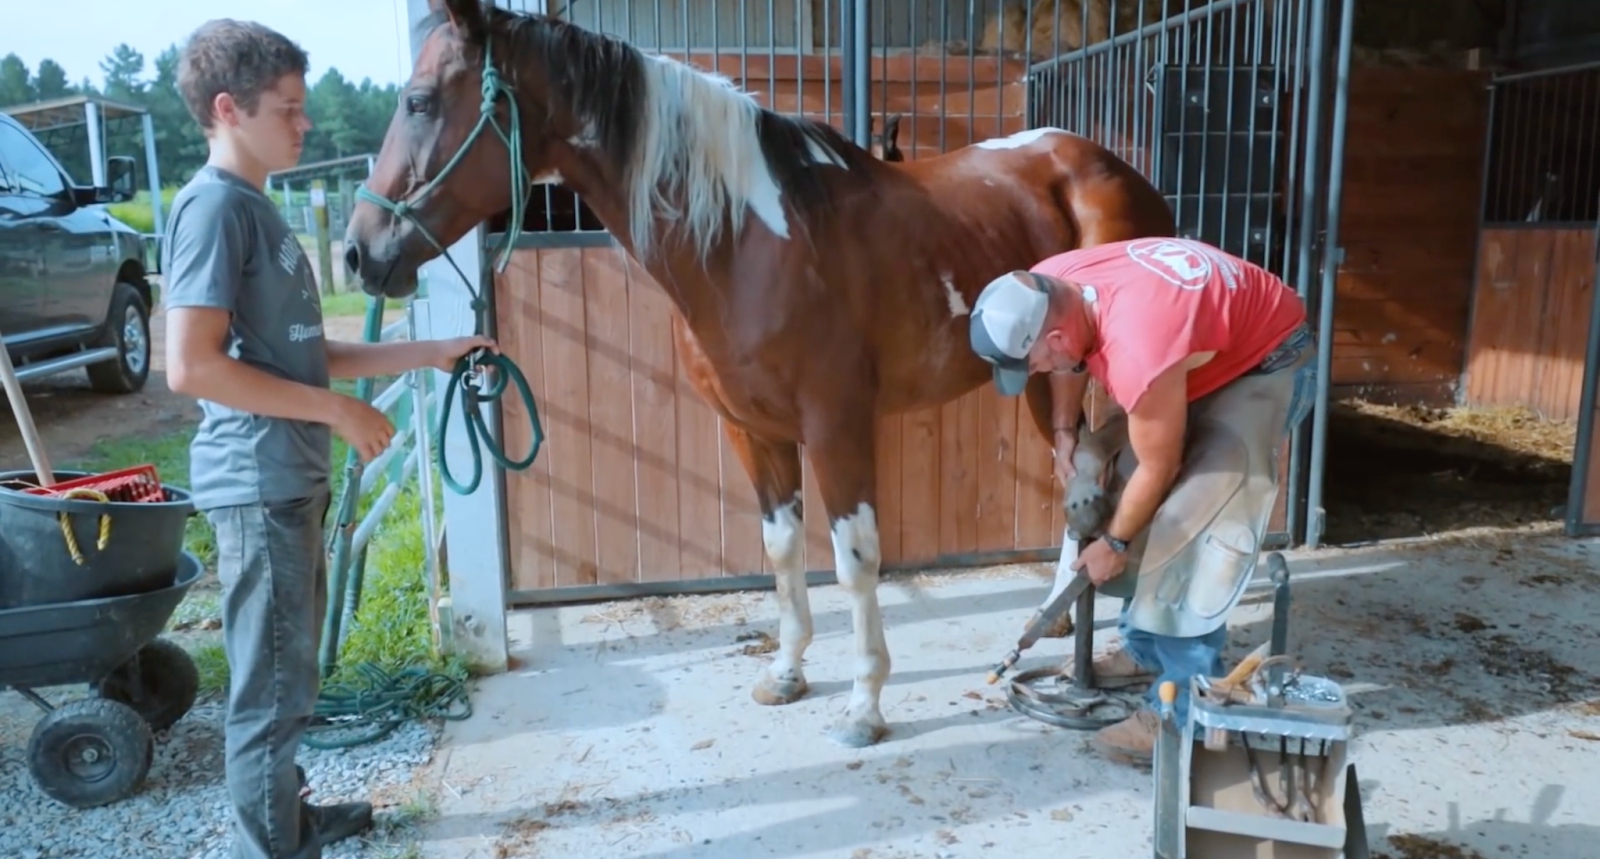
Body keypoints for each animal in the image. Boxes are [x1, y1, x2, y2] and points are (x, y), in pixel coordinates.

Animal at [343, 0, 1177, 748]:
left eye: (420, 101)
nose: (358, 254)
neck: (748, 245)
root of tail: (1118, 171)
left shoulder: (836, 428)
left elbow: (854, 560)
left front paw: (864, 705)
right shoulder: (751, 430)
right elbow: (781, 550)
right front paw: (787, 672)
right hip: (1043, 378)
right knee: (1071, 471)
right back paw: (1058, 613)